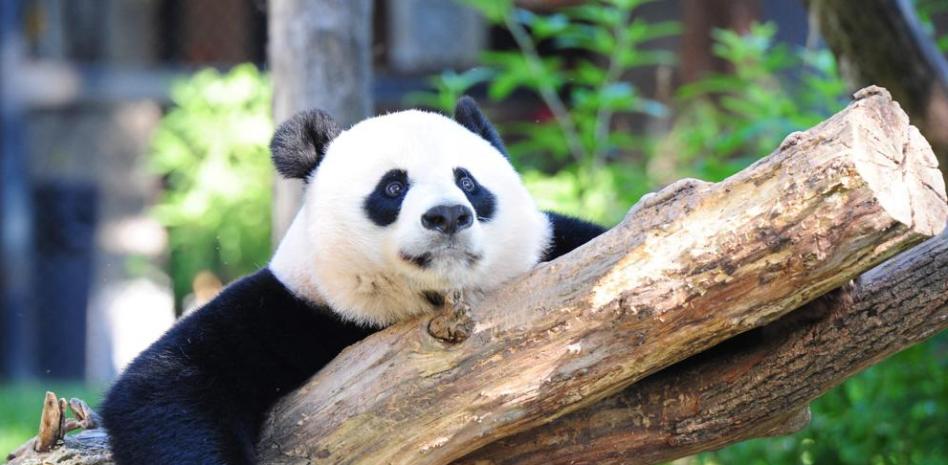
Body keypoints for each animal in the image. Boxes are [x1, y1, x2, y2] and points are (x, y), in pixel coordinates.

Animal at [100, 97, 606, 465]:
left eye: (468, 182)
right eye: (393, 187)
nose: (448, 215)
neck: (430, 299)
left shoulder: (560, 248)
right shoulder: (293, 308)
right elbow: (167, 384)